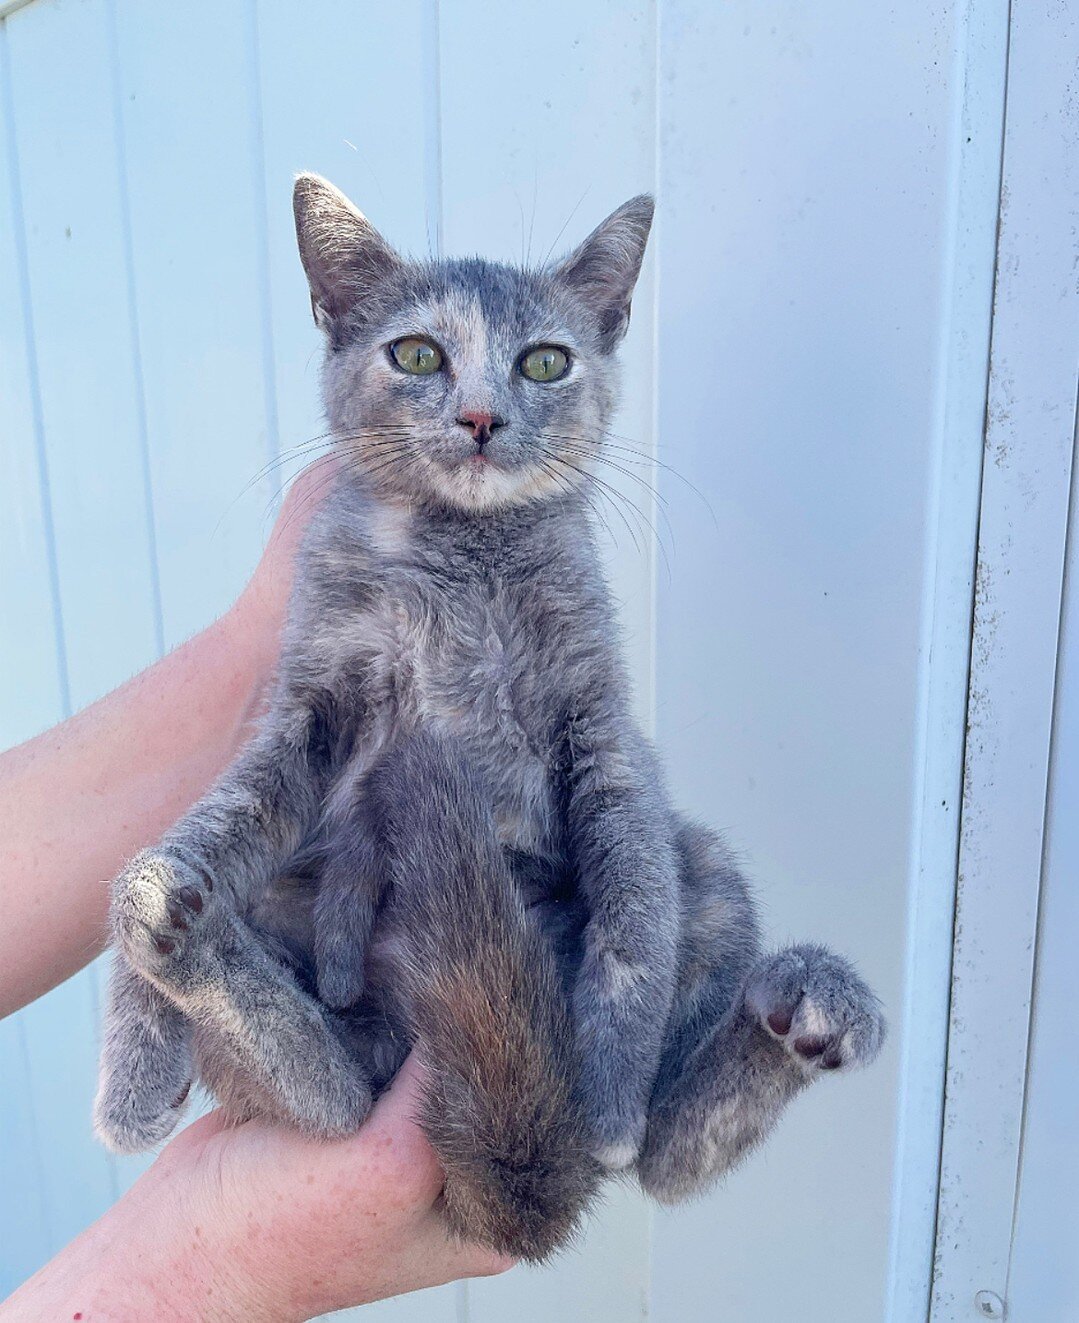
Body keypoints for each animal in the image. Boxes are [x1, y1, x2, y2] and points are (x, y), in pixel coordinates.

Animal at [92, 175, 883, 1259]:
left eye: (544, 360)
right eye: (417, 354)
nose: (478, 416)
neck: (459, 556)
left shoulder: (597, 721)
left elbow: (635, 923)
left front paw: (606, 1097)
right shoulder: (311, 700)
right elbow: (220, 816)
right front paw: (132, 1064)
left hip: (710, 874)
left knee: (670, 1152)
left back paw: (808, 1016)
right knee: (339, 1107)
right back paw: (182, 933)